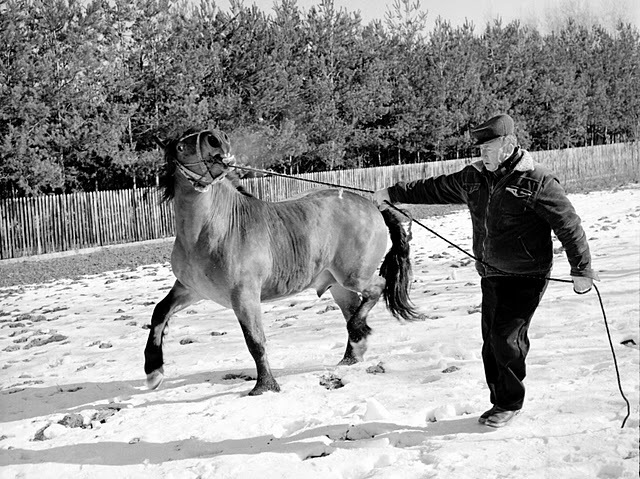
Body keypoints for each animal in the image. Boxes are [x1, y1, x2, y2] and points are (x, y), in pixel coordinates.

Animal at [142, 129, 418, 396]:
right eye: (180, 147)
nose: (216, 139)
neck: (214, 230)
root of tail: (372, 205)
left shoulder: (244, 296)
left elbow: (255, 341)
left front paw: (265, 387)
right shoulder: (192, 289)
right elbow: (160, 312)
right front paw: (153, 371)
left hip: (353, 276)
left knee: (376, 288)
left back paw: (359, 335)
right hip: (338, 285)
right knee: (352, 311)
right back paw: (352, 353)